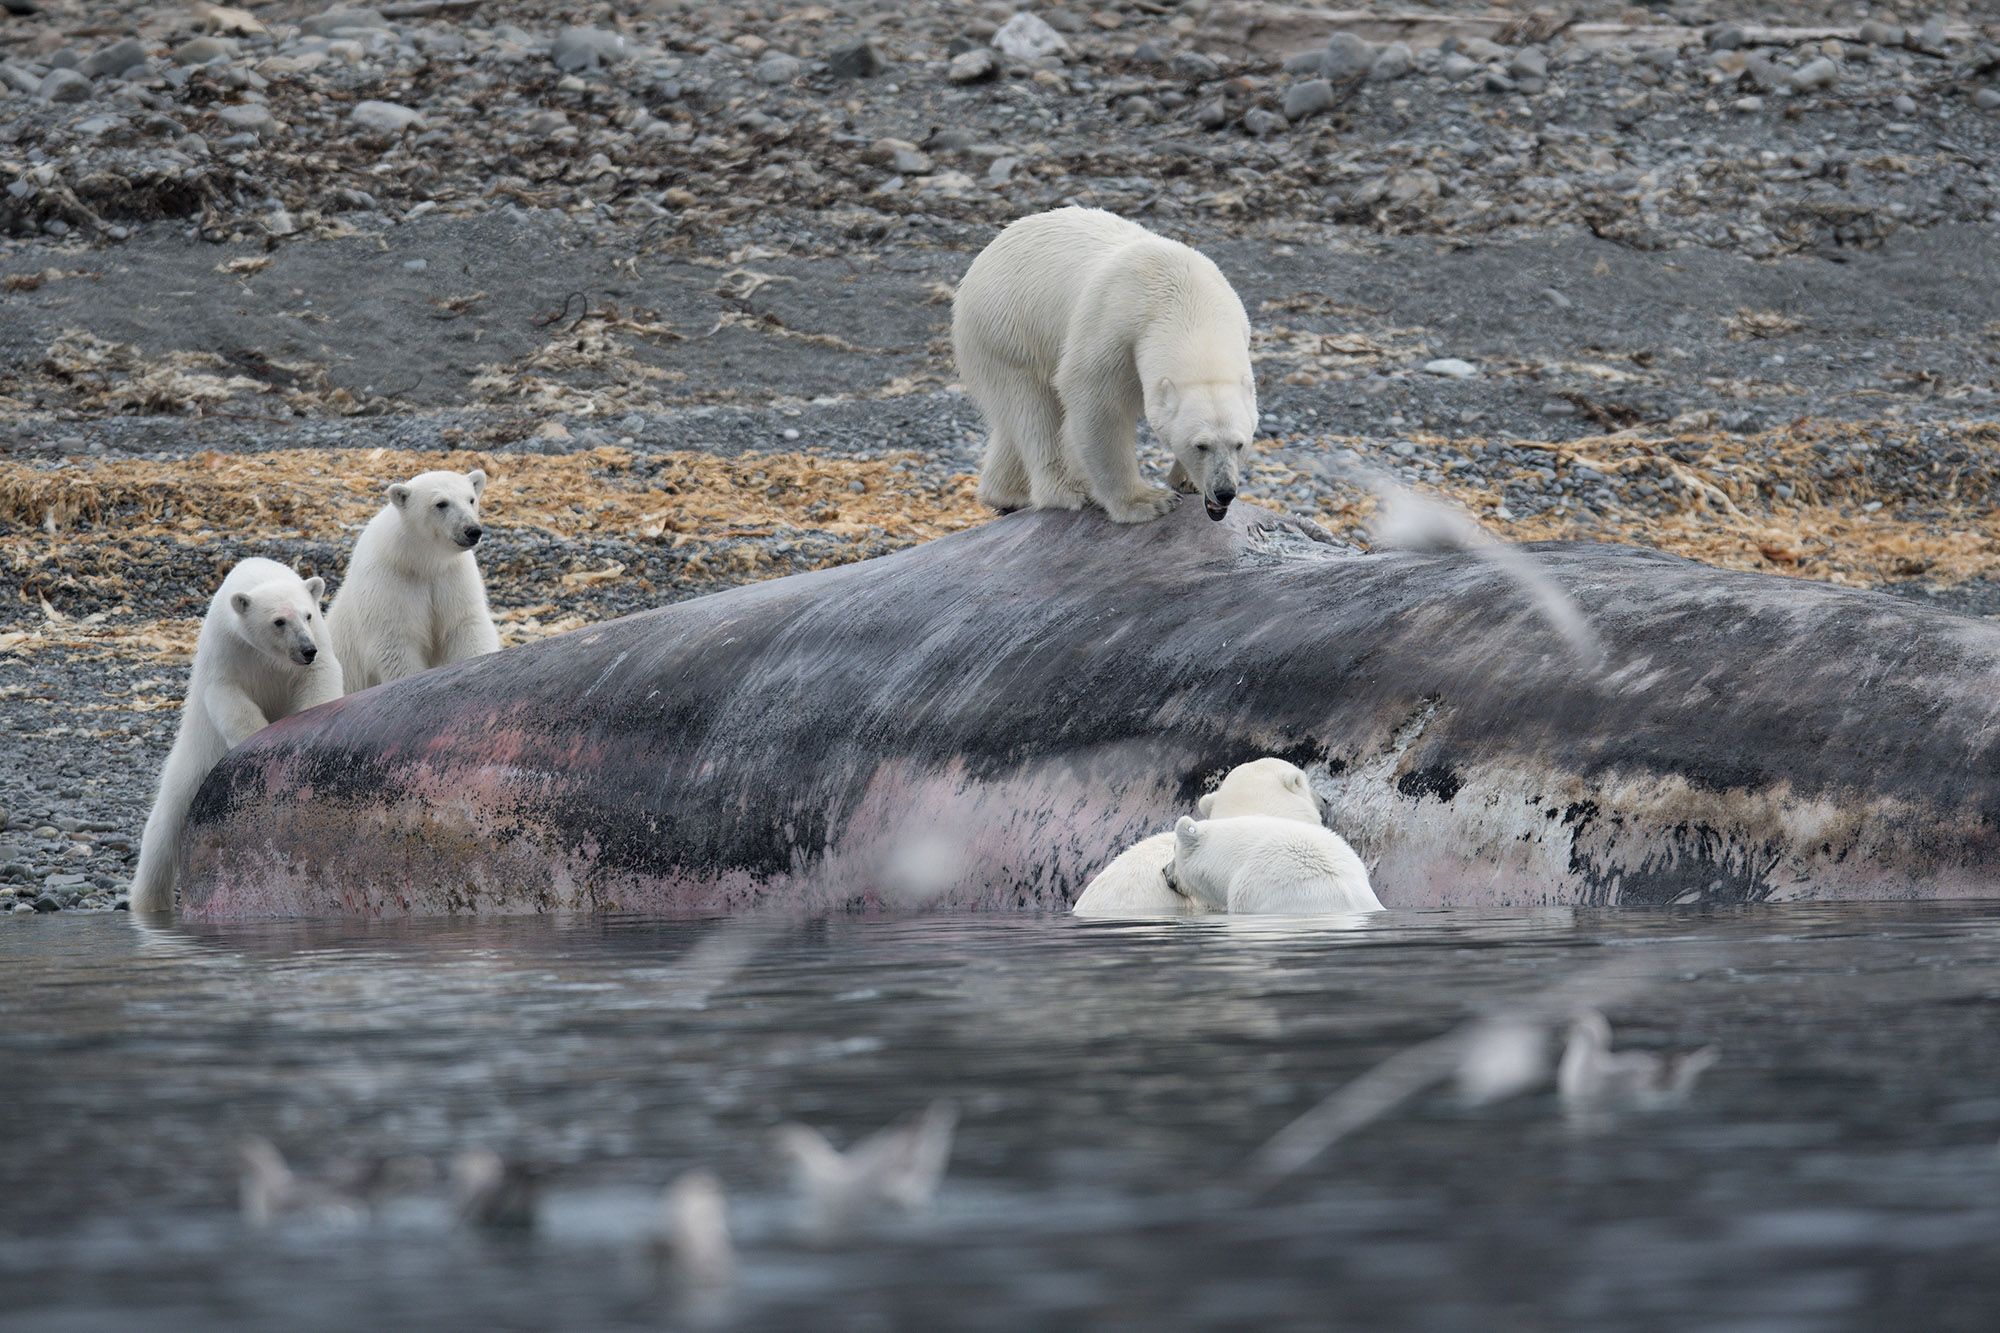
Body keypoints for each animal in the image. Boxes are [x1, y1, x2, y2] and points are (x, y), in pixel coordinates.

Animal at [129, 556, 342, 908]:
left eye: (308, 615)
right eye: (279, 621)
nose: (305, 650)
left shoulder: (319, 642)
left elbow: (320, 676)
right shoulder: (228, 646)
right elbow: (226, 693)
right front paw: (256, 743)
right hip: (195, 761)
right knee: (163, 829)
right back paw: (148, 901)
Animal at [328, 466, 500, 688]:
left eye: (471, 499)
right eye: (441, 503)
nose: (472, 530)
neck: (421, 563)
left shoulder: (452, 575)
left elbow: (466, 626)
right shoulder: (388, 582)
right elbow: (395, 643)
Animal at [948, 205, 1256, 520]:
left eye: (1239, 444)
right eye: (1201, 445)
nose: (1224, 491)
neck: (1187, 300)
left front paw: (1185, 481)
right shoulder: (1114, 326)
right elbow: (1097, 403)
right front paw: (1147, 501)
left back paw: (1008, 495)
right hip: (1007, 329)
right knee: (1033, 407)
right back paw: (1068, 490)